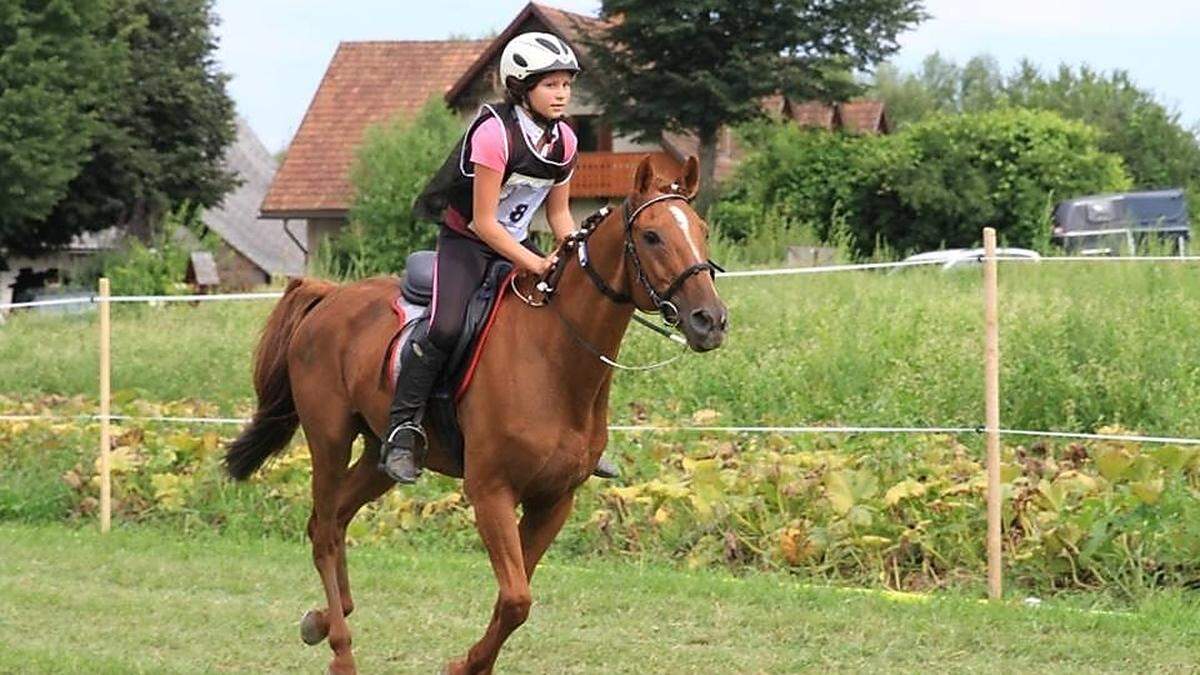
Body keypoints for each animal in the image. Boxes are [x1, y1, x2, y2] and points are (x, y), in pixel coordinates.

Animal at [225, 154, 729, 667]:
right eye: (651, 236)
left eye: (703, 230)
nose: (710, 320)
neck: (554, 358)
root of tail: (330, 295)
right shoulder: (491, 492)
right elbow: (517, 598)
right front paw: (463, 665)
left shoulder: (554, 500)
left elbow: (514, 596)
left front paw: (474, 662)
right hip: (329, 437)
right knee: (326, 529)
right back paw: (342, 652)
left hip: (379, 453)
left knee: (333, 519)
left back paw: (323, 619)